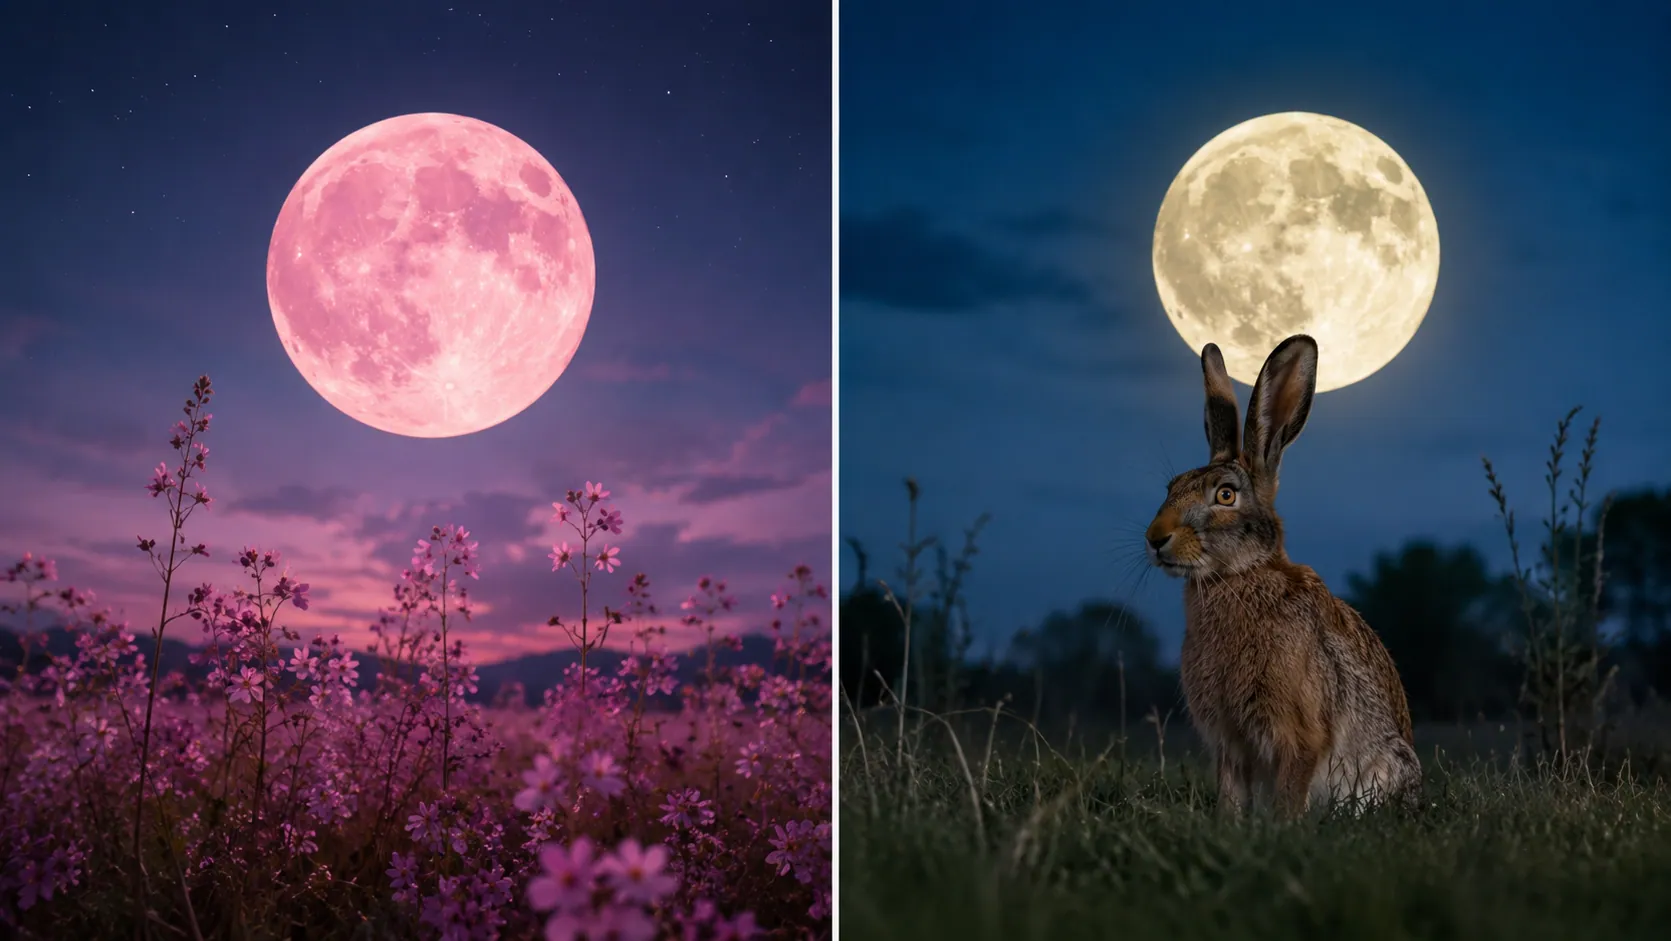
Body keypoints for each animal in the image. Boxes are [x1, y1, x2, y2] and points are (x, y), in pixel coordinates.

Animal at [1144, 334, 1419, 820]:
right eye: (1171, 488)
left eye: (1226, 495)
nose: (1156, 539)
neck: (1240, 575)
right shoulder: (1230, 743)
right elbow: (1232, 794)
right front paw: (1231, 825)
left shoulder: (1299, 734)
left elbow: (1291, 790)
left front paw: (1284, 828)